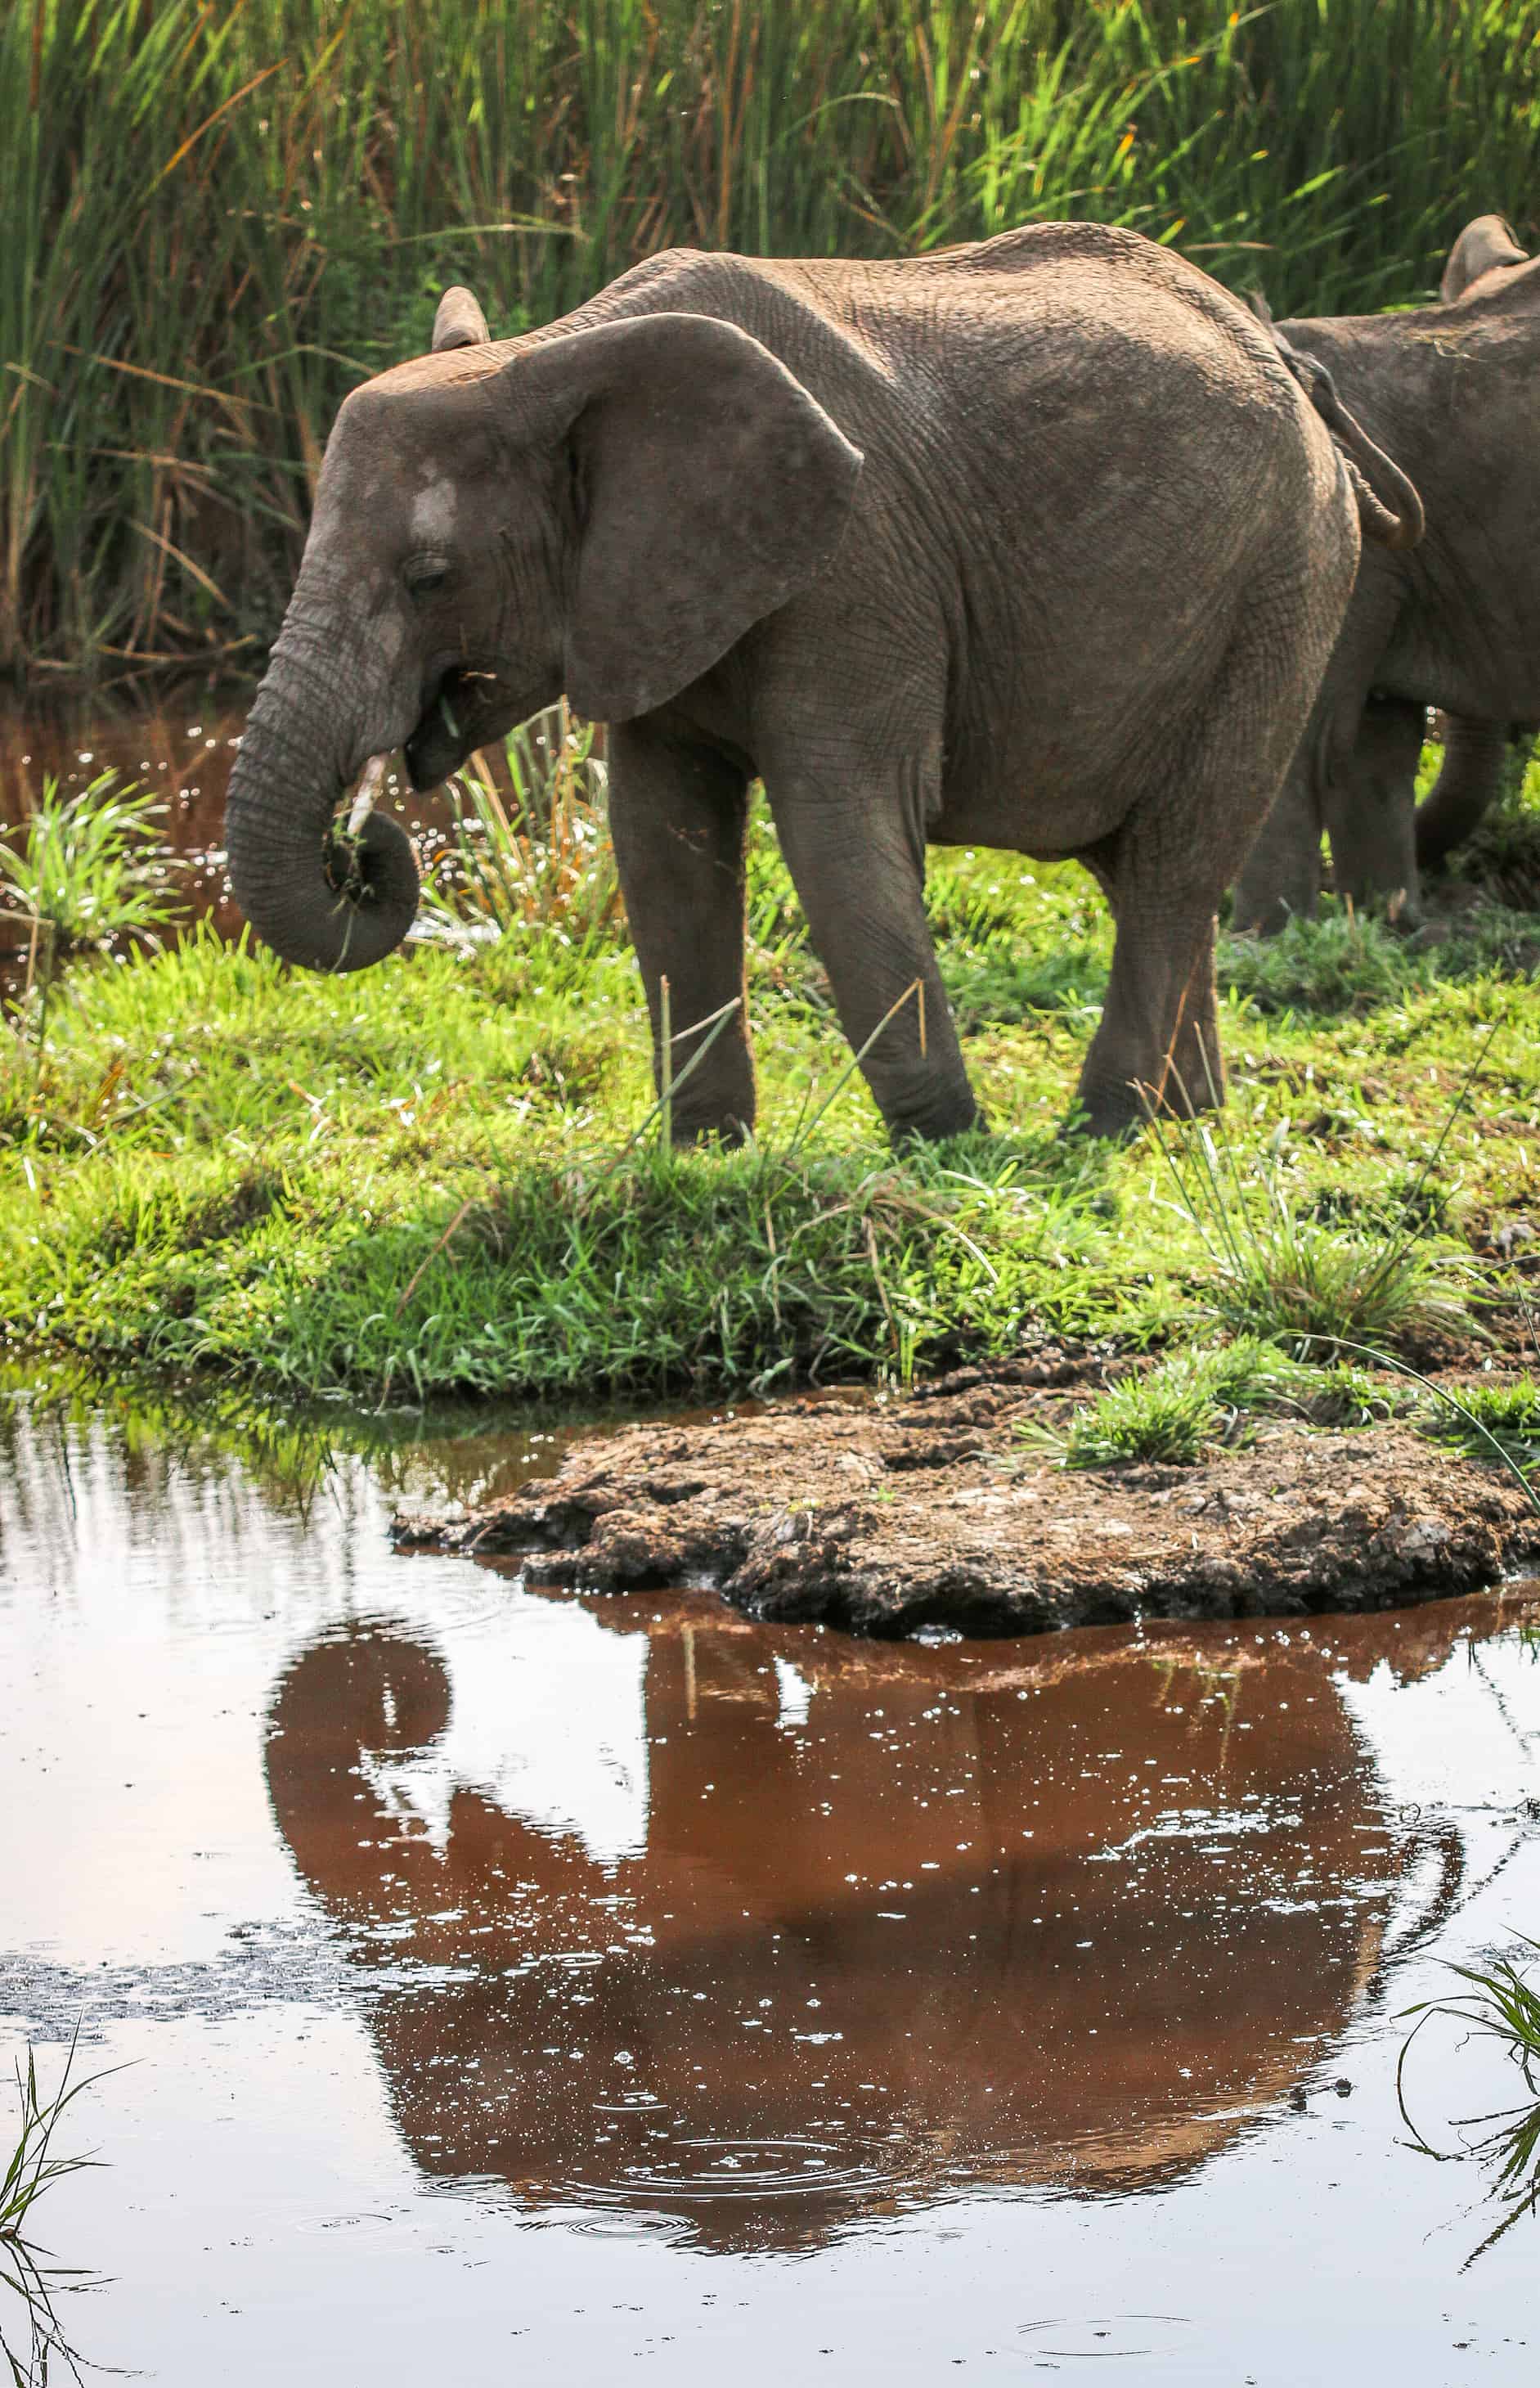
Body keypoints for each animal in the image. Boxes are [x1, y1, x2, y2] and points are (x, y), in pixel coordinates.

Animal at [227, 227, 1394, 1141]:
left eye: (431, 579)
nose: (359, 846)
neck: (555, 354)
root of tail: (1284, 363)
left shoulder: (854, 568)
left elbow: (836, 827)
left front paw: (946, 1151)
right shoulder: (654, 591)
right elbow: (662, 843)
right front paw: (703, 1154)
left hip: (1284, 581)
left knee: (1171, 863)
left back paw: (1102, 1125)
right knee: (1142, 867)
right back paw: (1188, 1116)